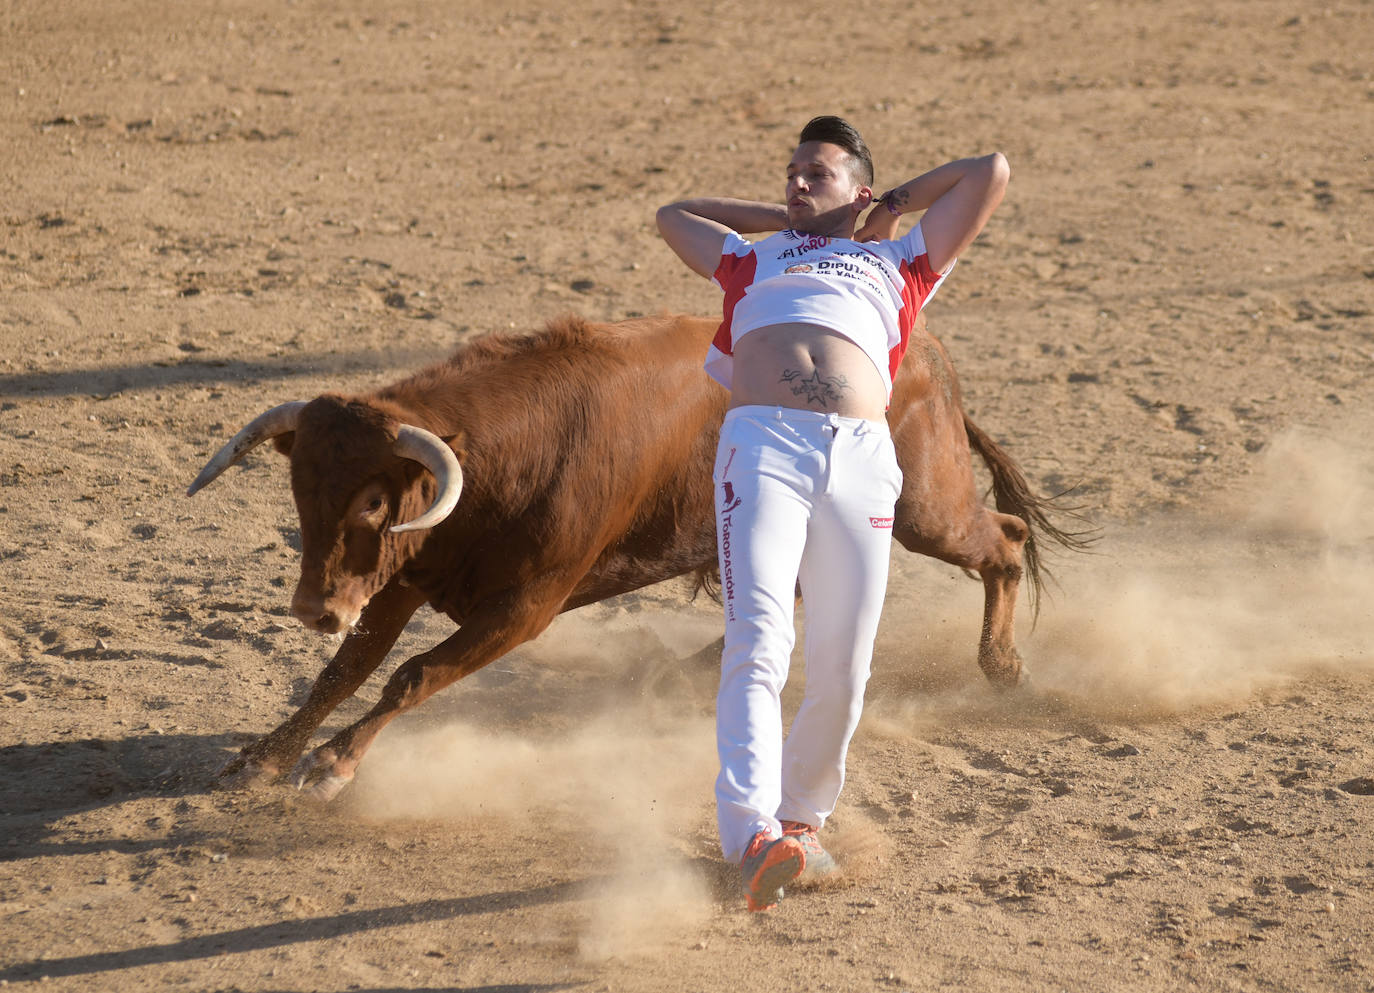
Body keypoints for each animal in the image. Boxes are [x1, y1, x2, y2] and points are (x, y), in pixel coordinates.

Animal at [185, 314, 1082, 802]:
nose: (314, 608)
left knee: (1003, 539)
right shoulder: (406, 577)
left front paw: (334, 765)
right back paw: (685, 676)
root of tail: (922, 345)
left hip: (926, 506)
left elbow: (412, 674)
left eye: (373, 501)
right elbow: (344, 671)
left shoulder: (524, 607)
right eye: (300, 485)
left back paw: (1003, 666)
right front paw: (260, 759)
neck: (503, 452)